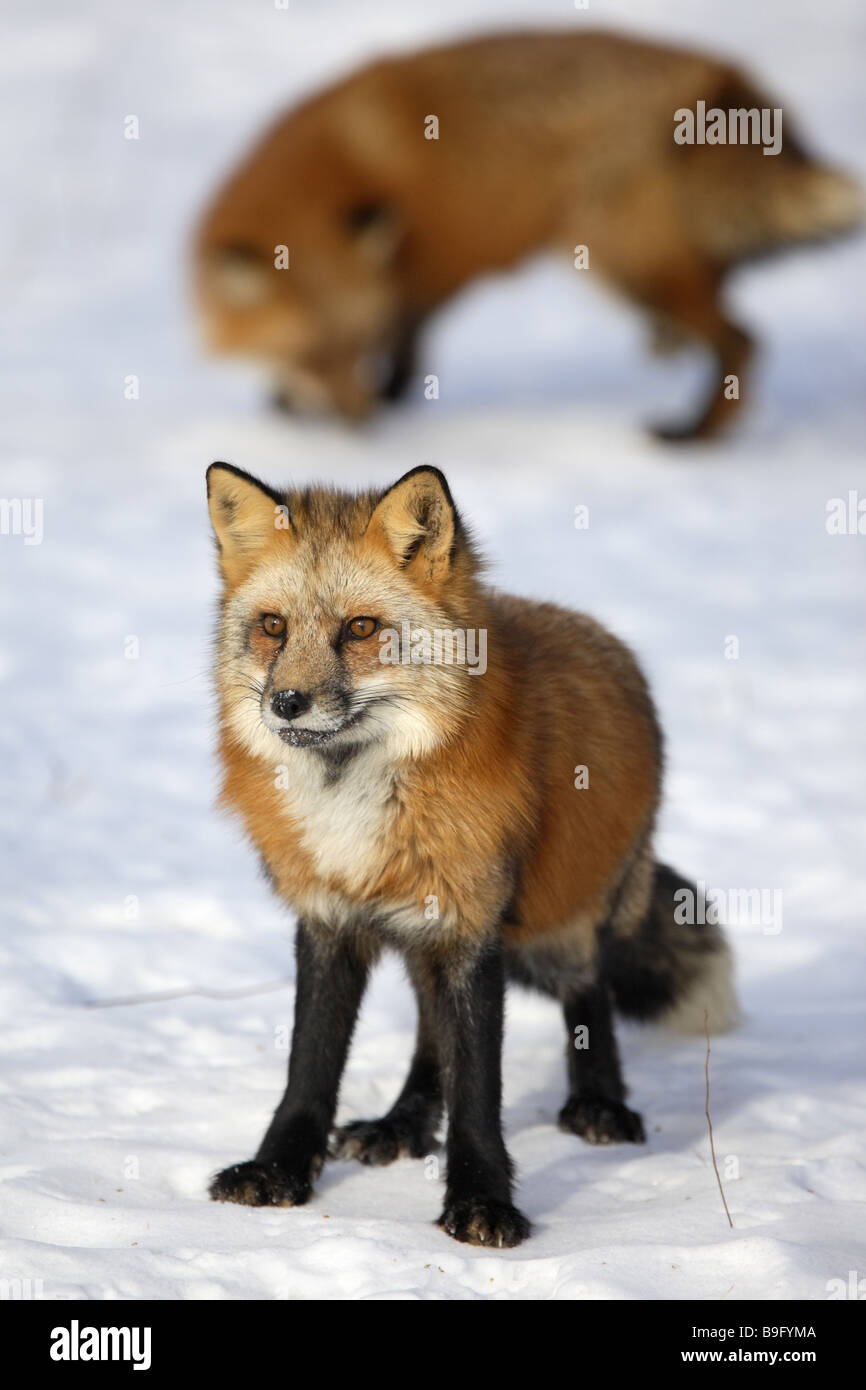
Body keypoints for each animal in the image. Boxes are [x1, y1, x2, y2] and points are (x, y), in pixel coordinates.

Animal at [194, 28, 861, 439]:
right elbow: (407, 340)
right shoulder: (416, 274)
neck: (344, 163)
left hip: (623, 261)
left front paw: (379, 397)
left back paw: (695, 435)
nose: (360, 425)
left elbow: (409, 344)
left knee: (743, 341)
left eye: (354, 341)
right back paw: (667, 351)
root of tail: (725, 79)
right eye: (313, 350)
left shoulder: (437, 261)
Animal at [207, 458, 733, 1251]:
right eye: (273, 627)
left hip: (556, 925)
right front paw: (278, 1170)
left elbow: (479, 1086)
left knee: (588, 988)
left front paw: (482, 1201)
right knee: (431, 1033)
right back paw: (402, 1123)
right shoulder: (333, 919)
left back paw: (599, 1104)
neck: (355, 800)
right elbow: (311, 1067)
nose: (287, 703)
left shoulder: (474, 924)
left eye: (360, 628)